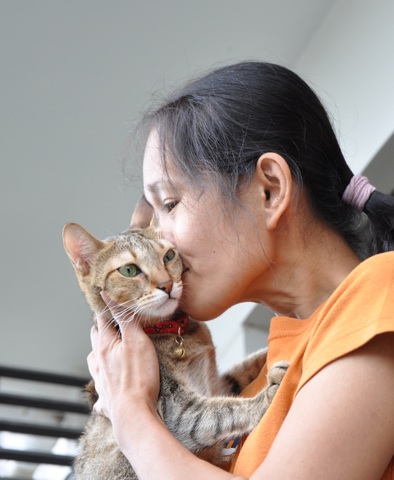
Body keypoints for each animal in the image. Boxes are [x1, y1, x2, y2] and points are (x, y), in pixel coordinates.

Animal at [63, 215, 288, 480]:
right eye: (129, 270)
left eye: (169, 256)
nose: (167, 284)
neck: (175, 332)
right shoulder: (177, 410)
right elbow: (222, 412)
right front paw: (268, 394)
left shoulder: (219, 382)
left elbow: (245, 368)